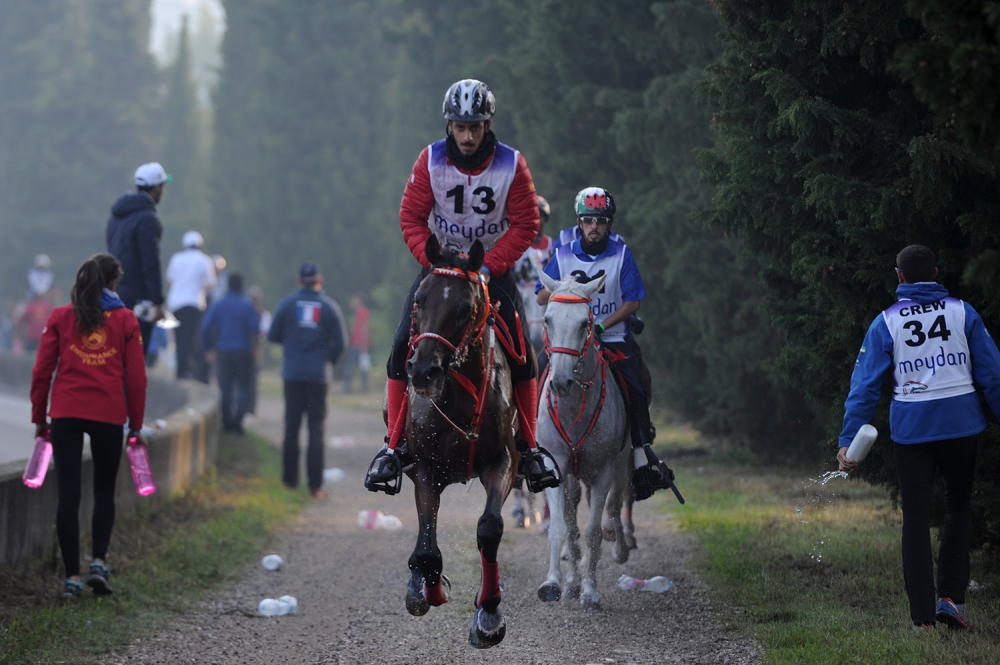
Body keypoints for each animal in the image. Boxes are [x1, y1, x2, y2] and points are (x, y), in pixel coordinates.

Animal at [402, 236, 520, 644]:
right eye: (420, 299)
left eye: (465, 308)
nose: (423, 371)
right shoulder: (425, 470)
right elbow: (427, 551)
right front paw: (429, 589)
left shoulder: (502, 463)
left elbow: (489, 528)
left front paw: (489, 614)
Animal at [536, 268, 628, 608]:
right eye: (547, 319)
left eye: (584, 324)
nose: (561, 382)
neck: (574, 406)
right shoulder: (556, 466)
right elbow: (561, 528)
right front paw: (554, 582)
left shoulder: (603, 471)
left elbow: (592, 532)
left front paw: (590, 592)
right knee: (573, 512)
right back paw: (571, 581)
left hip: (622, 463)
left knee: (616, 506)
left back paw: (620, 547)